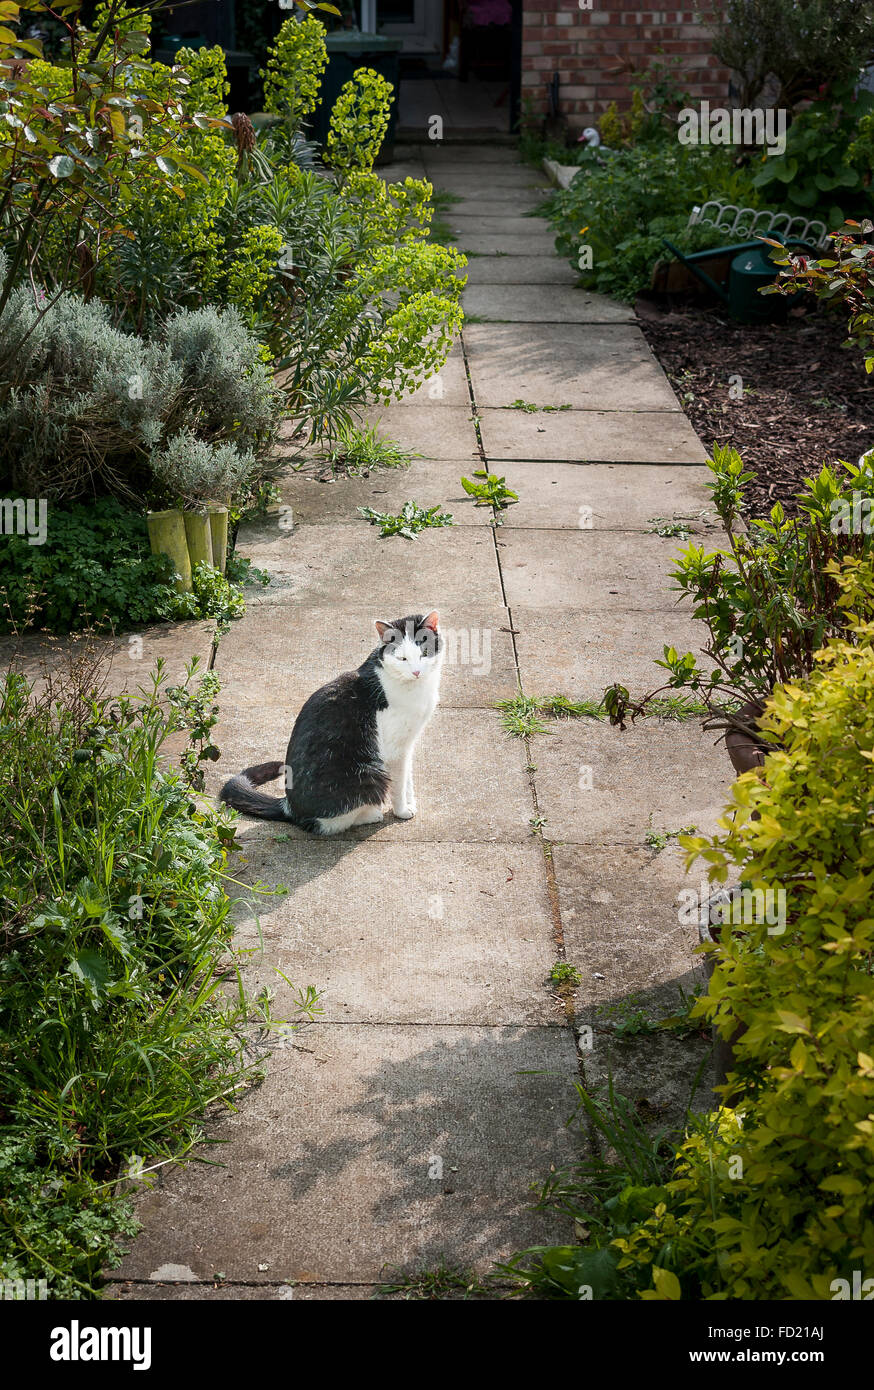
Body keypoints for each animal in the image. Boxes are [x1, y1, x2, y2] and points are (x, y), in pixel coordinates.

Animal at [218, 611, 441, 834]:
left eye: (424, 653)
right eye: (402, 658)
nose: (416, 672)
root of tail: (289, 806)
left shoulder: (407, 744)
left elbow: (407, 779)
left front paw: (410, 803)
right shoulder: (395, 750)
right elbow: (399, 783)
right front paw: (402, 810)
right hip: (369, 774)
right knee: (333, 822)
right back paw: (370, 815)